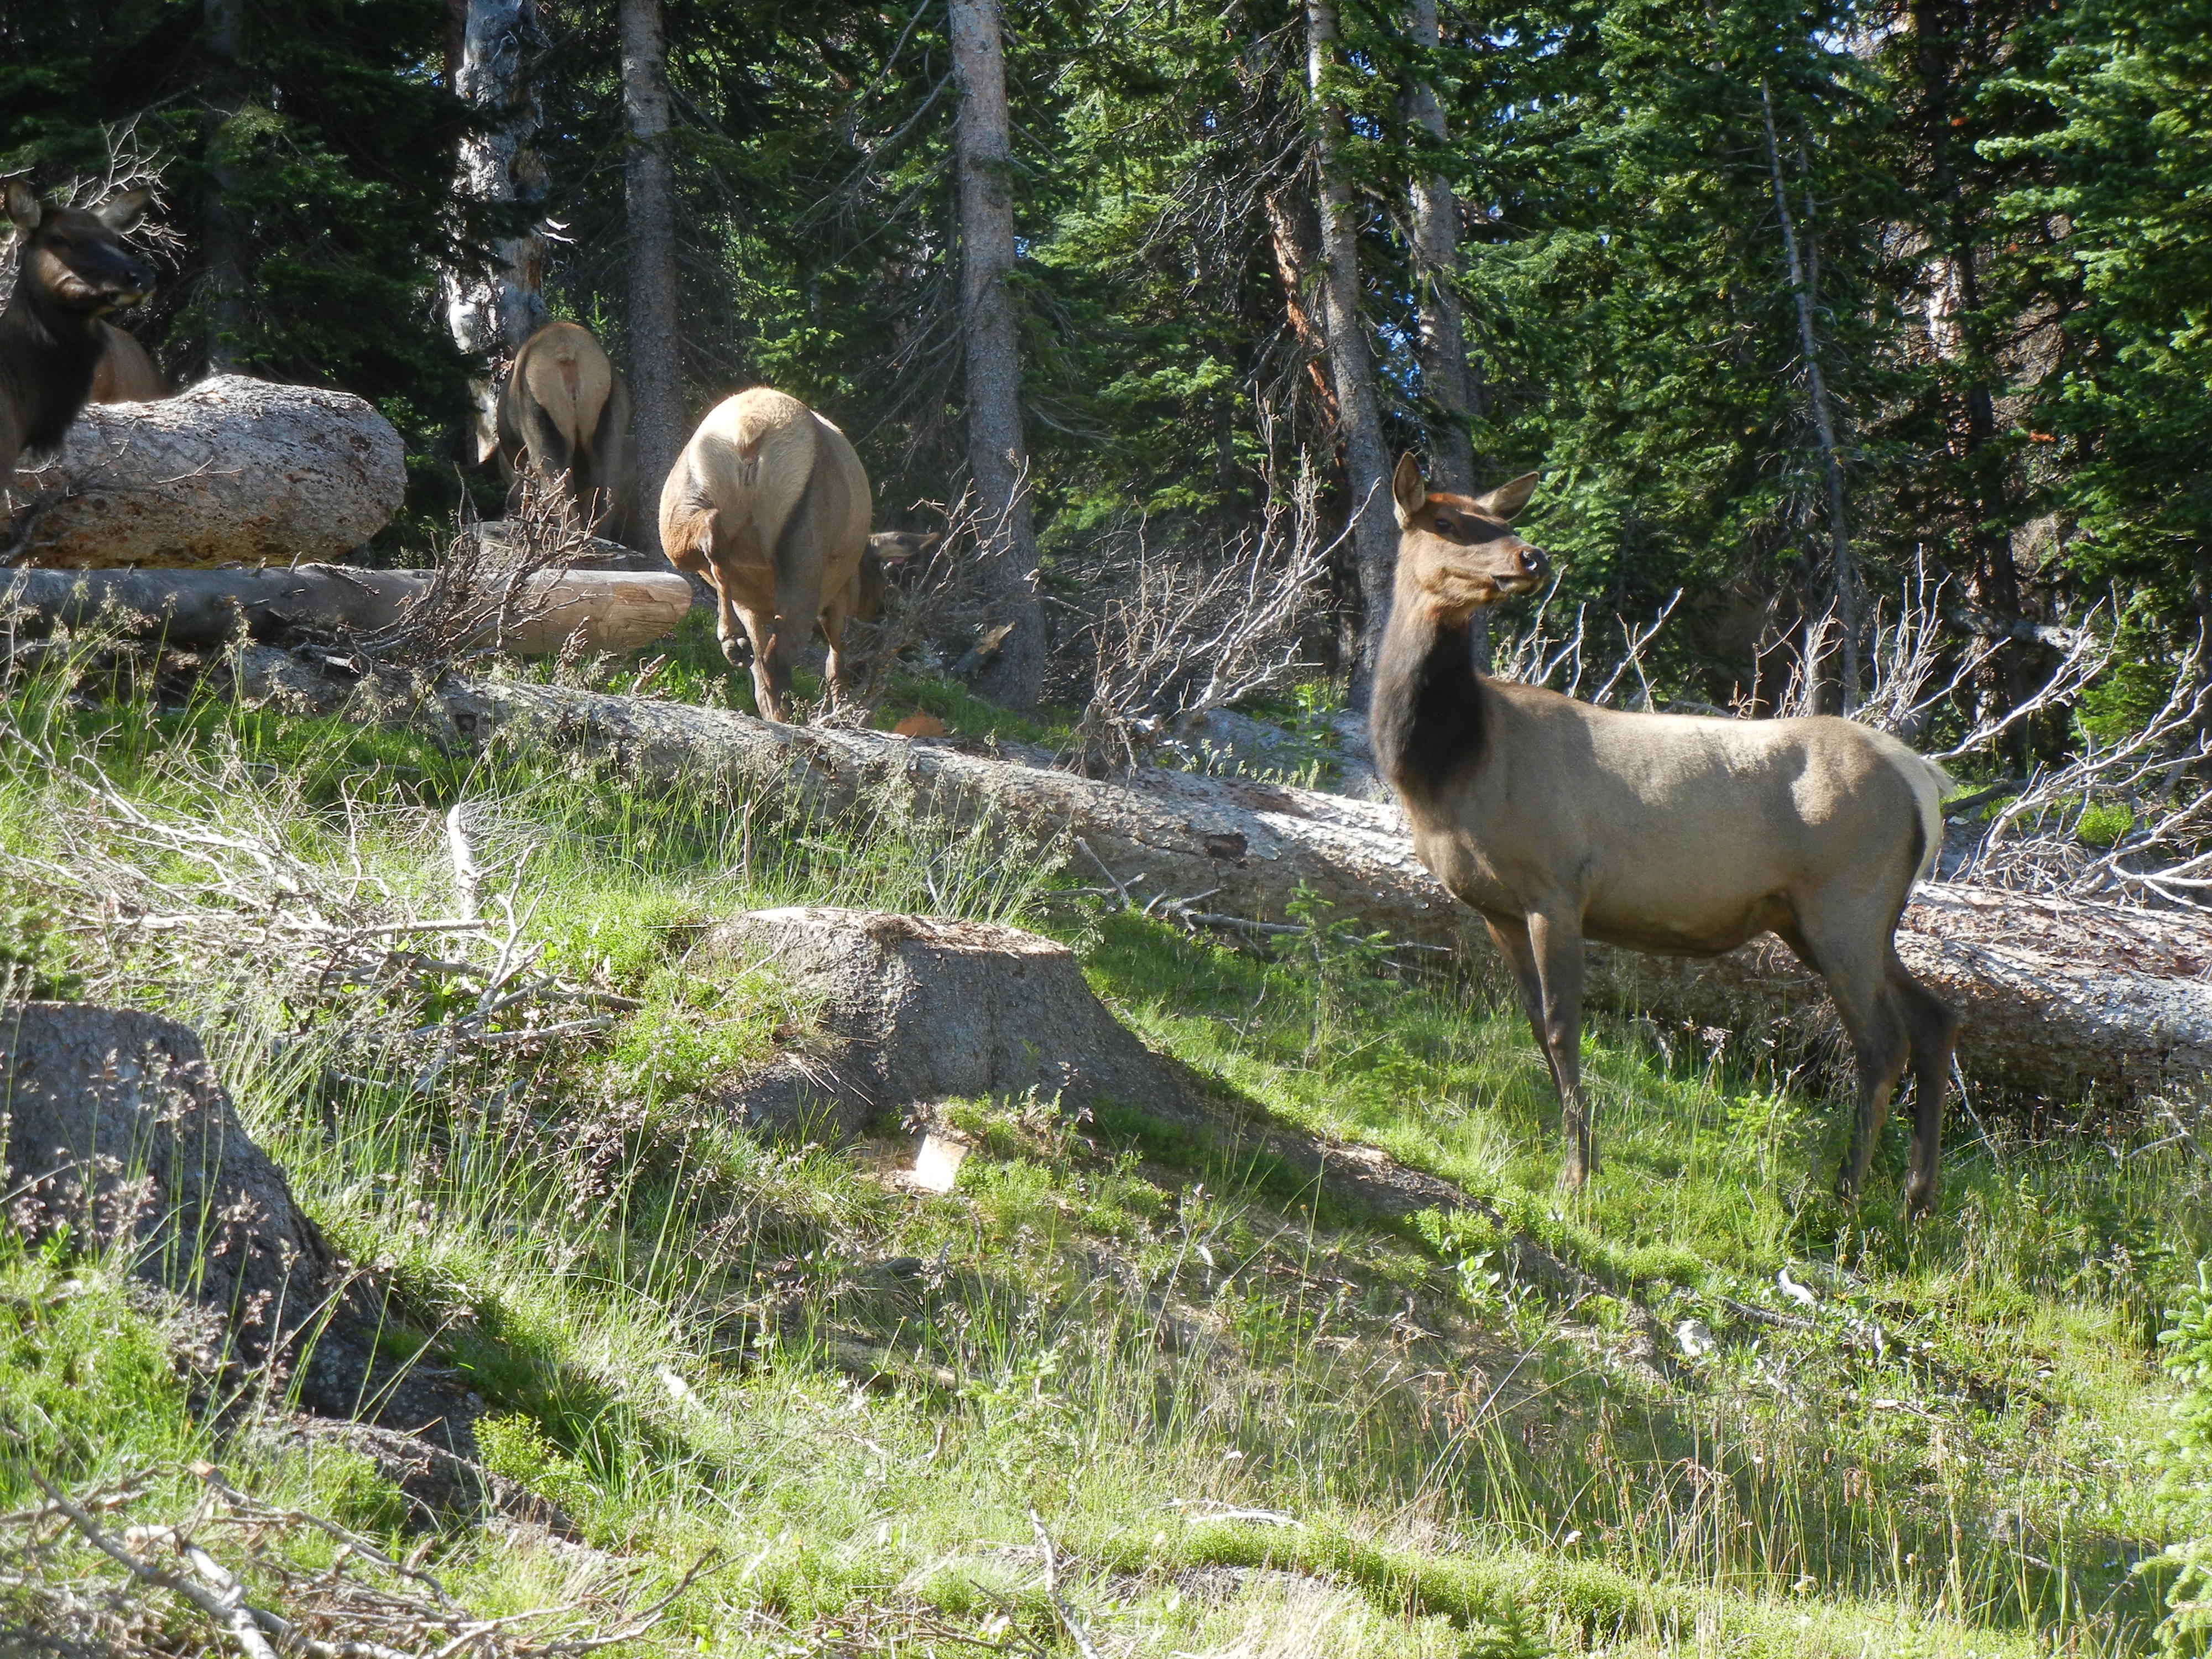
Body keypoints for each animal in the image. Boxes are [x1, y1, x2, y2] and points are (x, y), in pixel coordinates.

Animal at [655, 394, 872, 730]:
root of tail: (749, 431)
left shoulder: (751, 606)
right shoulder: (833, 600)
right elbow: (835, 666)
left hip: (679, 516)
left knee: (711, 534)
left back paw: (732, 641)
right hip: (803, 551)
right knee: (779, 658)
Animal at [1371, 456, 1964, 1221]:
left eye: (1497, 520)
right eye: (1445, 521)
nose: (1532, 557)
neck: (1445, 761)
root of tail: (1925, 781)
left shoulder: (1555, 886)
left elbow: (1562, 1027)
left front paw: (1576, 1177)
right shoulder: (1497, 907)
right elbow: (1533, 1026)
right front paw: (1576, 1161)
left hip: (1846, 906)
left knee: (1882, 1043)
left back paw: (1843, 1197)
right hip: (1830, 919)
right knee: (1935, 1019)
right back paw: (1916, 1199)